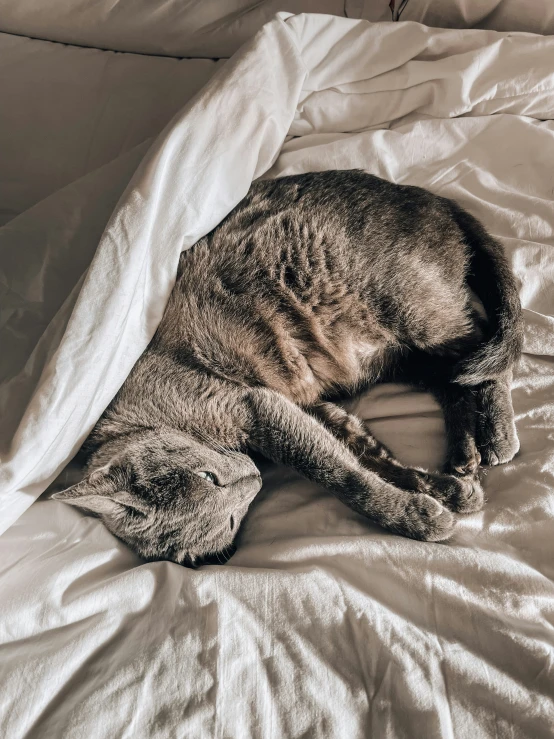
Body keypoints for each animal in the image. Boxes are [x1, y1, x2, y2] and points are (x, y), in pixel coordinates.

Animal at [49, 172, 520, 568]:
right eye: (231, 521)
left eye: (207, 477)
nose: (254, 479)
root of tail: (431, 197)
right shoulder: (308, 408)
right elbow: (368, 455)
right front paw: (443, 492)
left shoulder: (255, 405)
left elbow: (339, 474)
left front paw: (417, 518)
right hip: (389, 356)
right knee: (455, 378)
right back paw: (463, 456)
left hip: (412, 310)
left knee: (488, 348)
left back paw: (497, 436)